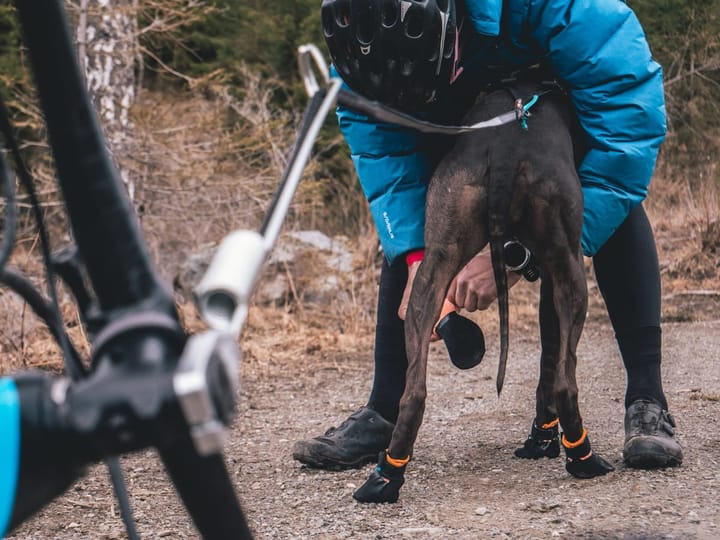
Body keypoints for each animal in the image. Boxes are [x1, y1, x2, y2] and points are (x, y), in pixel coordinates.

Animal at [354, 81, 612, 506]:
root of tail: (507, 146)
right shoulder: (560, 269)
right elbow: (551, 364)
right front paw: (545, 440)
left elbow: (546, 358)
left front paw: (541, 439)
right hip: (572, 274)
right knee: (566, 383)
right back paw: (583, 458)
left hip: (436, 264)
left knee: (413, 393)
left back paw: (387, 475)